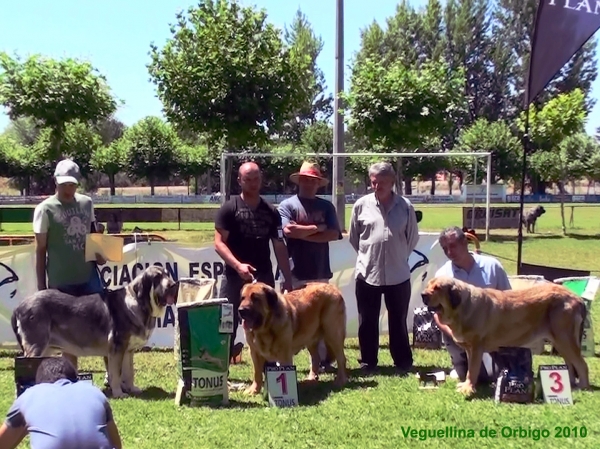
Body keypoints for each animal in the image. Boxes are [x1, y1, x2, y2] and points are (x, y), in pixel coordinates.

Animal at [11, 264, 178, 398]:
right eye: (157, 277)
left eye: (167, 274)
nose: (173, 285)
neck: (140, 303)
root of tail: (19, 306)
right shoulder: (117, 349)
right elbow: (116, 374)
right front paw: (118, 393)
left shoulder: (128, 351)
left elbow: (129, 372)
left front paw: (132, 389)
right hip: (36, 346)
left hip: (45, 348)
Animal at [422, 276, 592, 396]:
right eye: (428, 286)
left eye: (437, 288)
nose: (423, 295)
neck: (463, 308)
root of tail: (577, 298)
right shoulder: (471, 350)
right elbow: (471, 369)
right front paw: (467, 386)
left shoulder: (476, 348)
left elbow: (472, 370)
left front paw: (468, 389)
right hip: (560, 341)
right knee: (570, 363)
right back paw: (571, 384)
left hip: (565, 339)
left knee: (581, 365)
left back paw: (583, 387)